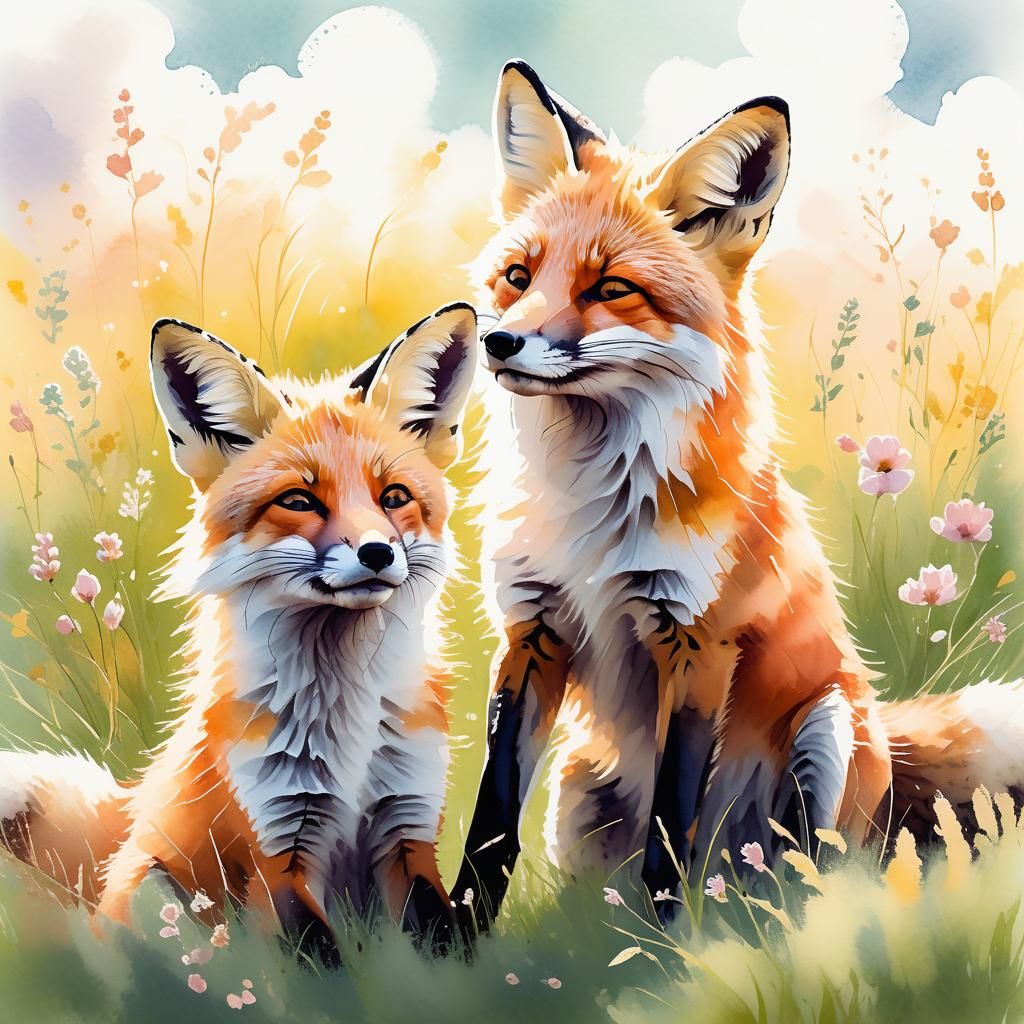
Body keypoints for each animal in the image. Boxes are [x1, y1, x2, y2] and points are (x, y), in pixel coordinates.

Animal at [0, 302, 478, 953]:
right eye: (300, 501)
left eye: (394, 496)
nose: (378, 552)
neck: (348, 720)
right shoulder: (276, 849)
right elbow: (319, 965)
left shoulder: (409, 824)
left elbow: (446, 948)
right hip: (159, 893)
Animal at [452, 60, 1024, 929]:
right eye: (518, 277)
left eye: (611, 287)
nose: (498, 341)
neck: (588, 506)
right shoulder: (532, 627)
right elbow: (490, 824)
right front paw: (443, 938)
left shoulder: (698, 639)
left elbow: (671, 821)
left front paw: (664, 949)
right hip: (579, 794)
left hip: (828, 735)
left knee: (807, 873)